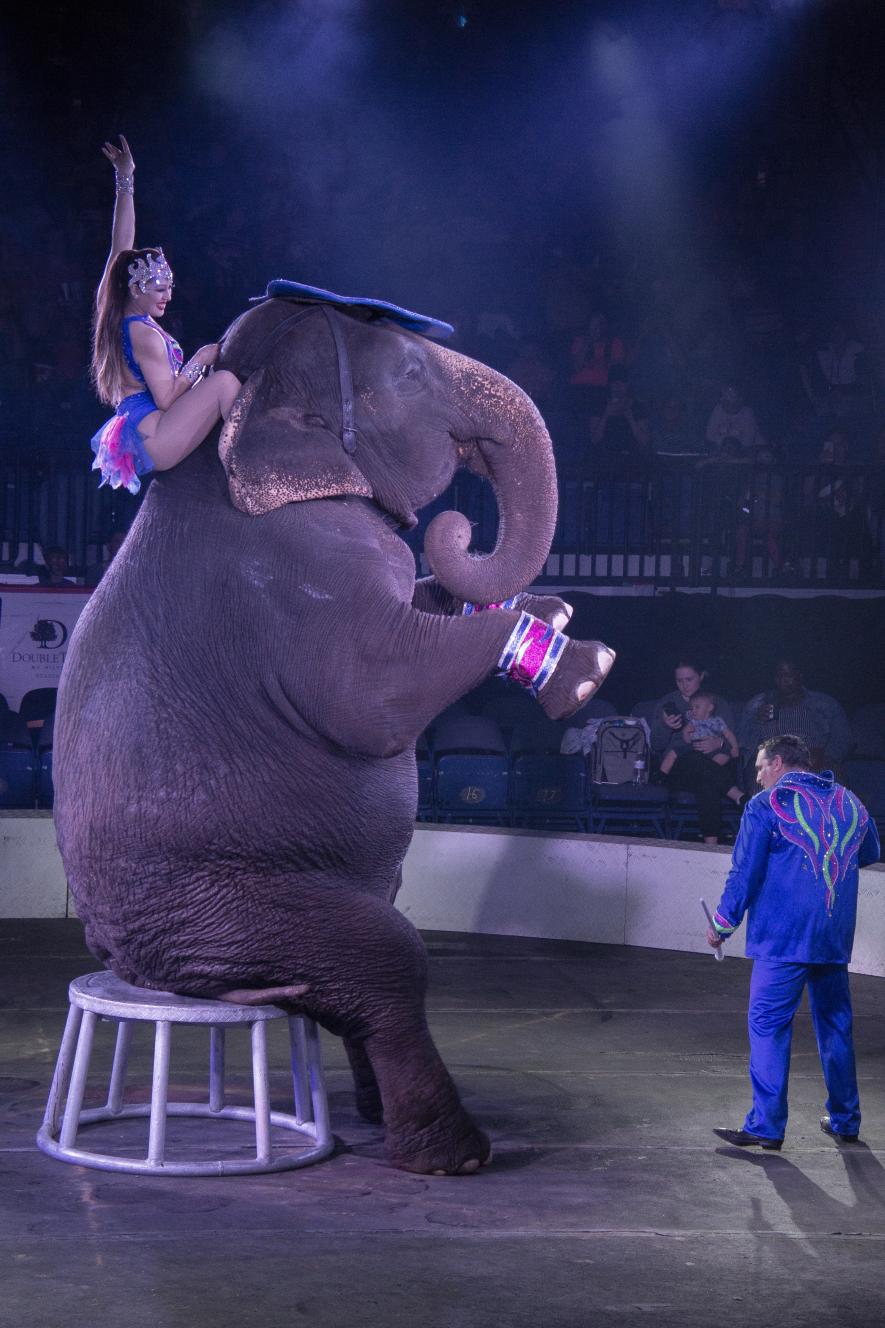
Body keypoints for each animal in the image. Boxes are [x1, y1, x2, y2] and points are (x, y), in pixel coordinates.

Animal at [49, 282, 613, 1173]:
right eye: (412, 374)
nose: (458, 524)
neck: (227, 437)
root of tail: (136, 970)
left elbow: (420, 600)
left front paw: (547, 609)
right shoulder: (291, 585)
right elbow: (375, 693)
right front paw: (581, 664)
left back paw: (376, 1110)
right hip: (223, 911)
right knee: (387, 959)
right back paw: (455, 1155)